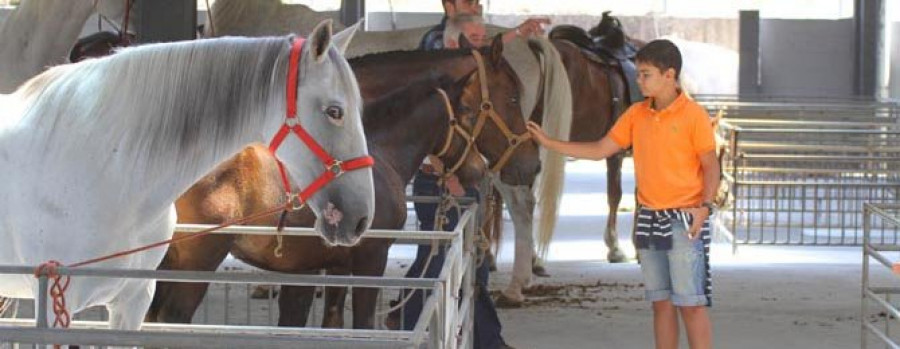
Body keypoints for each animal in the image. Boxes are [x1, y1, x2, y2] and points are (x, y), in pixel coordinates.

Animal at [148, 36, 544, 328]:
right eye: (511, 98)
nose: (531, 165)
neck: (374, 148)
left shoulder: (321, 267)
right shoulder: (371, 258)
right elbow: (363, 324)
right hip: (195, 261)